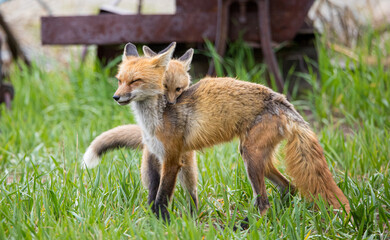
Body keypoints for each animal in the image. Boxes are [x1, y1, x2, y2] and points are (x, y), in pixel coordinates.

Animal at [84, 42, 350, 228]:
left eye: (135, 81)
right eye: (119, 80)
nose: (116, 97)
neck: (154, 117)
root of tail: (282, 101)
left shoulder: (172, 159)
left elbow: (162, 197)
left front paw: (161, 225)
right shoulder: (154, 156)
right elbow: (152, 195)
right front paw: (152, 222)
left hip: (250, 158)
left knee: (263, 202)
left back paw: (246, 226)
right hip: (258, 159)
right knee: (289, 188)